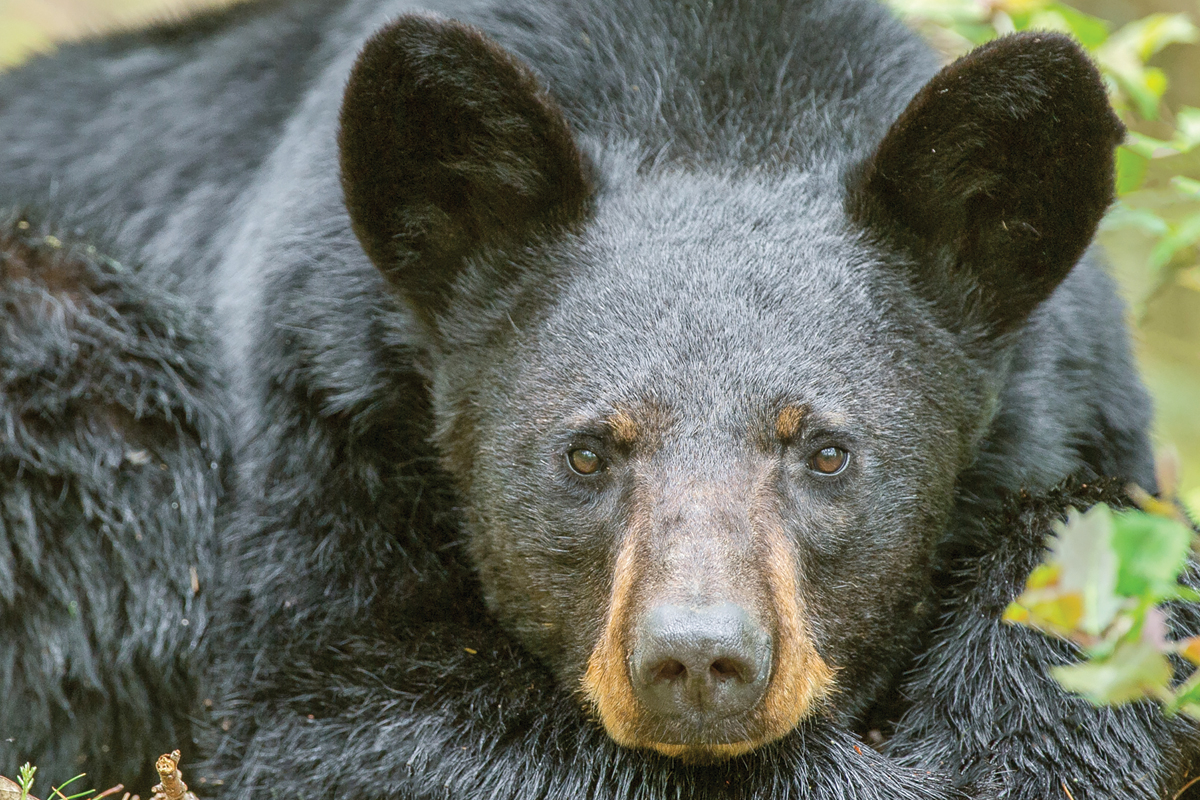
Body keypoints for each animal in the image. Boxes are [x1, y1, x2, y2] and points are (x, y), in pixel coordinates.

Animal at [2, 0, 1200, 796]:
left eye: (825, 451)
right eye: (586, 451)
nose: (700, 659)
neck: (716, 105)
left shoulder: (1070, 402)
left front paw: (1034, 729)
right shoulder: (319, 428)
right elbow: (332, 712)